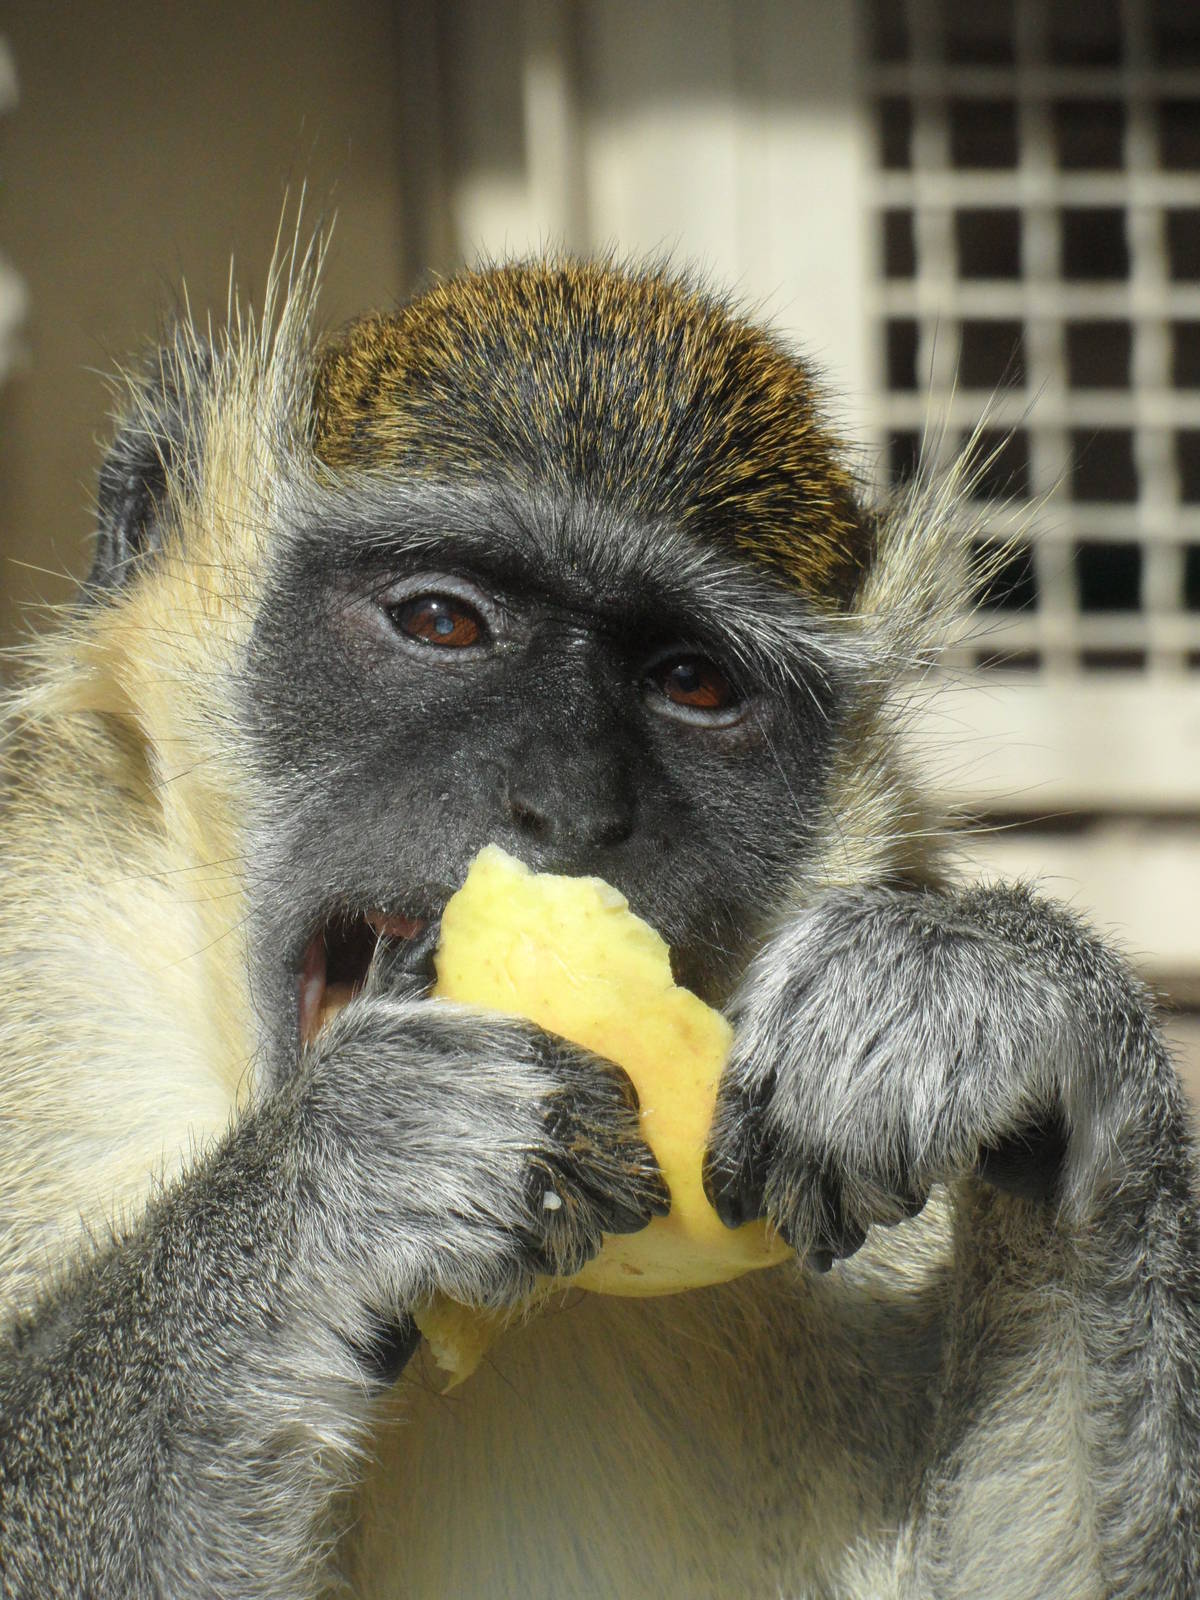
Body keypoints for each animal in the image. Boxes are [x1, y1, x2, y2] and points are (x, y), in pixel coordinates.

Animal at [0, 242, 1198, 1600]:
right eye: (442, 620)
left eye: (693, 682)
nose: (570, 803)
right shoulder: (52, 939)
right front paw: (341, 1173)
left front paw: (986, 992)